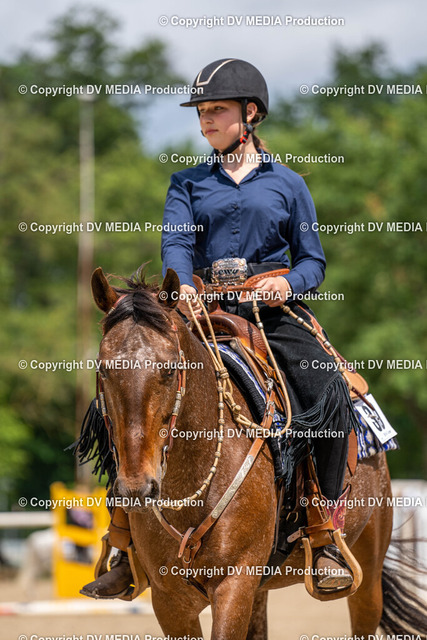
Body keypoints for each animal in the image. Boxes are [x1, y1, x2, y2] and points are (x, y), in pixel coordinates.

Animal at [86, 266, 427, 640]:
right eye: (103, 370)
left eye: (170, 369)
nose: (137, 489)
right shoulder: (170, 600)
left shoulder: (234, 585)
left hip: (368, 571)